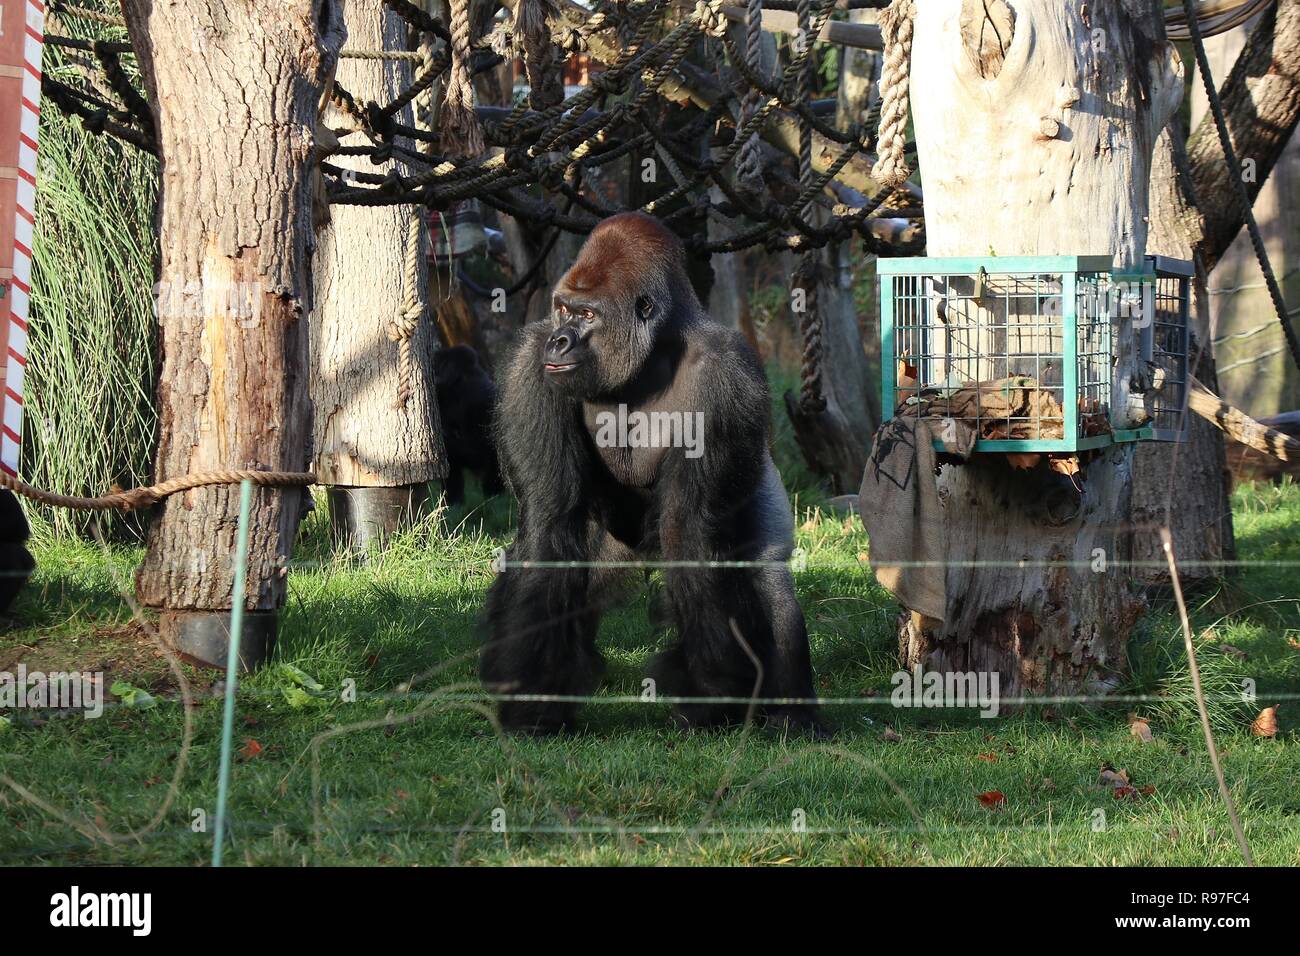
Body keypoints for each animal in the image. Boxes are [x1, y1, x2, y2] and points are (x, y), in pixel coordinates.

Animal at [483, 210, 816, 733]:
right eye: (563, 309)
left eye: (588, 315)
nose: (559, 340)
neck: (651, 354)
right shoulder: (529, 365)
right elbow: (550, 523)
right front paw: (531, 702)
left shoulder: (727, 373)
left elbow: (690, 532)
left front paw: (713, 691)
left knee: (767, 573)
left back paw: (794, 720)